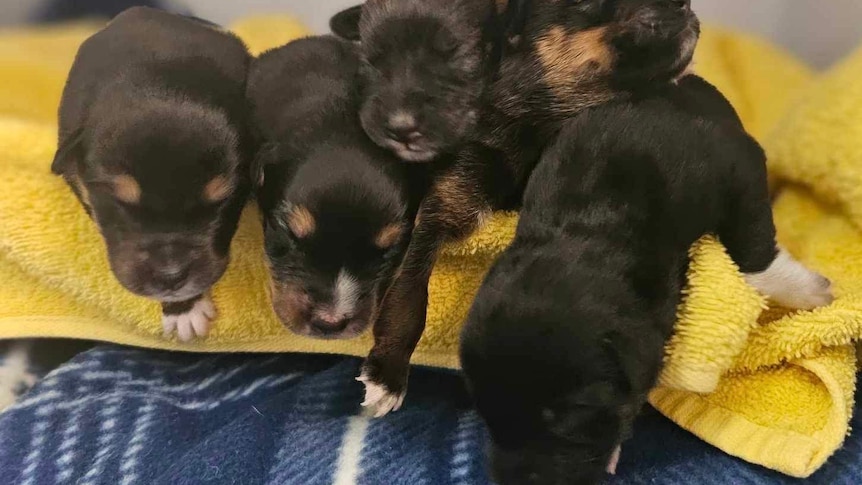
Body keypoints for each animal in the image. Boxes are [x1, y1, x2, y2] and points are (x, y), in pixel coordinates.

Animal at [466, 73, 836, 482]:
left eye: (567, 418)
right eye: (485, 411)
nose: (509, 479)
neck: (592, 221)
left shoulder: (735, 165)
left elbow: (753, 251)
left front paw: (809, 292)